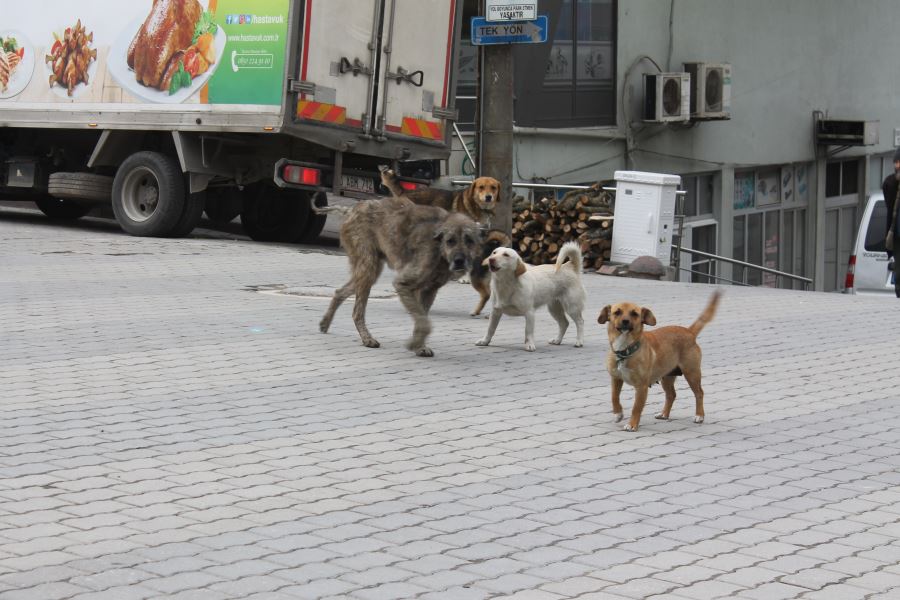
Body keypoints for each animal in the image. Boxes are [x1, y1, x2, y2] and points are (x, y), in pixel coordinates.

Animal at [318, 197, 482, 356]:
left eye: (469, 240)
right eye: (450, 241)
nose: (459, 261)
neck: (439, 249)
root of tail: (352, 210)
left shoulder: (429, 290)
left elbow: (422, 318)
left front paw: (419, 345)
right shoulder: (403, 284)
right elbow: (424, 322)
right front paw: (415, 344)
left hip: (369, 272)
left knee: (340, 292)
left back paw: (325, 323)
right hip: (367, 268)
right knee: (357, 312)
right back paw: (367, 338)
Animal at [596, 290, 724, 432]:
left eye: (634, 314)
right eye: (617, 312)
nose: (625, 321)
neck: (625, 351)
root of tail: (689, 331)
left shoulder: (641, 387)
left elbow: (636, 408)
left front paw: (632, 424)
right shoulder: (616, 379)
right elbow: (614, 397)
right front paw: (618, 414)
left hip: (692, 373)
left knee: (699, 393)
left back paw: (699, 415)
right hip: (667, 377)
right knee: (671, 395)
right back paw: (664, 414)